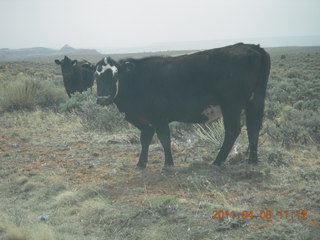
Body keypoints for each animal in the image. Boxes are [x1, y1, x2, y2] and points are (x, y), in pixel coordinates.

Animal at [93, 44, 270, 170]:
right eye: (96, 76)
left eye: (115, 75)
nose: (103, 98)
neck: (137, 78)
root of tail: (253, 47)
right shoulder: (146, 120)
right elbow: (145, 139)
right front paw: (141, 164)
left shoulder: (159, 117)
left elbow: (164, 139)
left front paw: (168, 165)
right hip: (255, 100)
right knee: (254, 127)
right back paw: (252, 161)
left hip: (231, 105)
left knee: (233, 130)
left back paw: (217, 162)